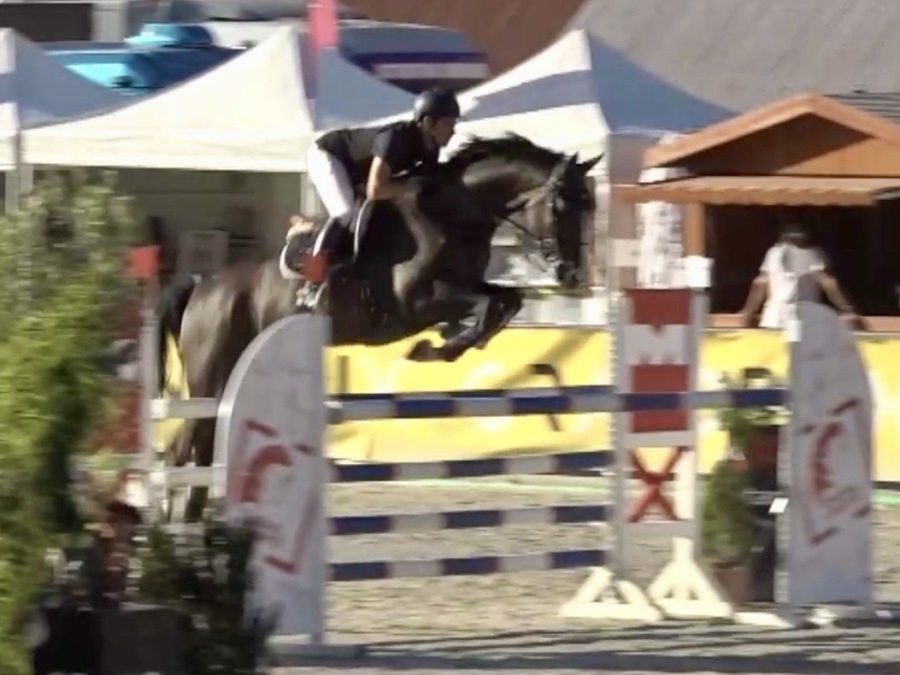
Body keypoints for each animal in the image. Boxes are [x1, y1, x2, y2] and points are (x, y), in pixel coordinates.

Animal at [158, 133, 601, 520]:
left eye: (590, 206)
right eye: (561, 206)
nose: (574, 276)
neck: (453, 215)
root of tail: (202, 286)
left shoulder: (464, 286)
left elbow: (507, 300)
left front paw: (454, 340)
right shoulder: (417, 303)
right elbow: (489, 304)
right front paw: (436, 347)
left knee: (199, 443)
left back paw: (192, 516)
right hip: (209, 376)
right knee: (186, 443)